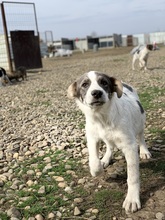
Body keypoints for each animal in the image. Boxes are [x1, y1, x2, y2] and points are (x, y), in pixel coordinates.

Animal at [67, 71, 151, 213]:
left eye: (104, 83)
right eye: (85, 84)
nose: (96, 93)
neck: (102, 118)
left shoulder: (130, 146)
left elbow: (132, 176)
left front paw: (132, 199)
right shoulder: (92, 137)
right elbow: (93, 160)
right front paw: (97, 169)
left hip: (140, 122)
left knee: (141, 137)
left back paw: (144, 151)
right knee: (109, 145)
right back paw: (106, 159)